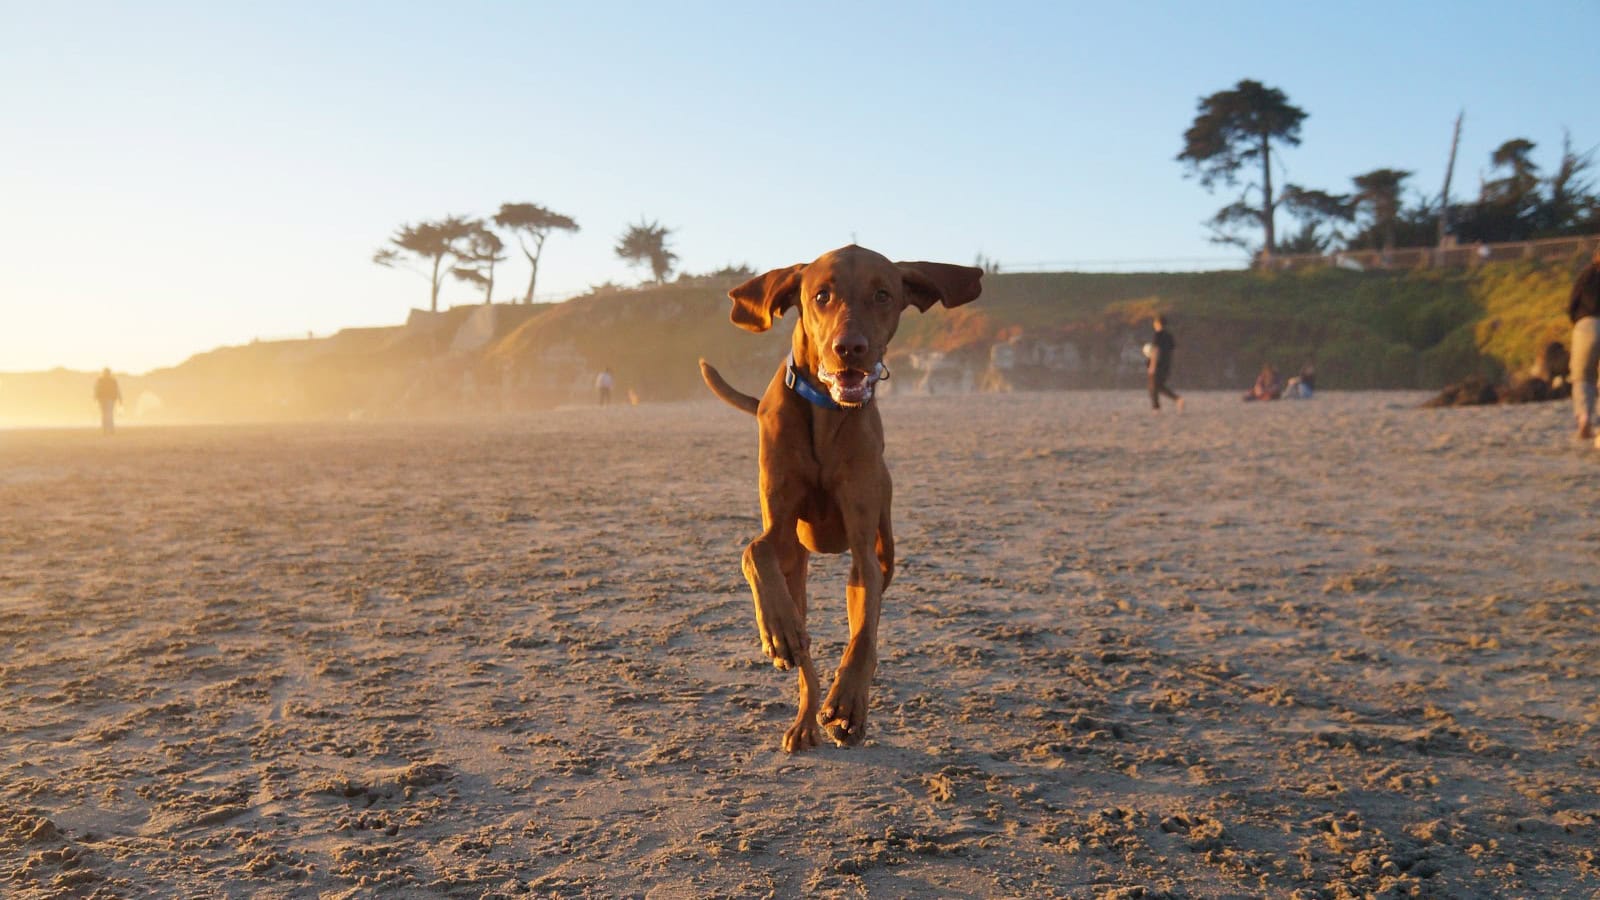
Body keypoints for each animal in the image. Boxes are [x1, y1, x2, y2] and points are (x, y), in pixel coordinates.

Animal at [704, 245, 985, 749]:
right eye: (821, 295)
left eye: (883, 294)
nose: (850, 348)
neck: (826, 410)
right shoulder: (780, 529)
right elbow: (754, 549)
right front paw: (776, 630)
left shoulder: (863, 546)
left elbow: (864, 634)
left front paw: (849, 706)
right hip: (797, 568)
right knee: (804, 650)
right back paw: (801, 709)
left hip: (885, 539)